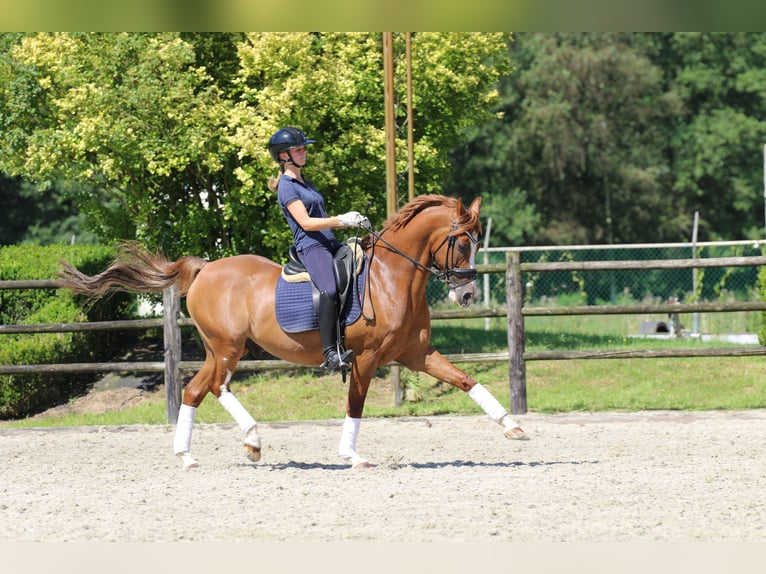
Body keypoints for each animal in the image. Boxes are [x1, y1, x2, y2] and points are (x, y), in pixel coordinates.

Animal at [58, 196, 528, 470]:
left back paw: (192, 455)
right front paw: (351, 454)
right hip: (229, 347)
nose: (467, 294)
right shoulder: (366, 359)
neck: (391, 276)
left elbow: (465, 379)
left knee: (196, 390)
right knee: (217, 386)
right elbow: (356, 405)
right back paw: (249, 440)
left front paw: (512, 427)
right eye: (462, 242)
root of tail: (206, 268)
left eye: (478, 242)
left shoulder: (416, 354)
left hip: (218, 348)